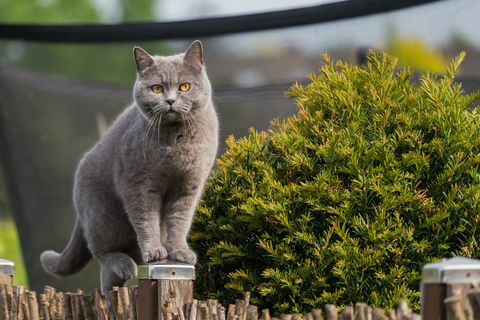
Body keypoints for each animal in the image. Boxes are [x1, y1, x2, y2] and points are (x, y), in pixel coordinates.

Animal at [39, 40, 219, 296]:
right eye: (156, 88)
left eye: (184, 86)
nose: (170, 100)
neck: (175, 141)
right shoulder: (138, 183)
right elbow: (146, 219)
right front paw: (154, 251)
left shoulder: (189, 185)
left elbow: (180, 220)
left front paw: (180, 252)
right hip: (103, 214)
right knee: (101, 251)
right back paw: (125, 266)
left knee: (108, 276)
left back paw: (112, 288)